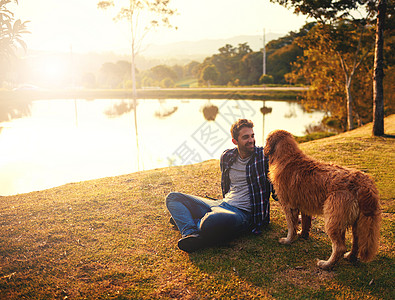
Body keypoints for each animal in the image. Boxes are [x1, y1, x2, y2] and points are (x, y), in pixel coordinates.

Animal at [264, 130, 382, 270]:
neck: (288, 157)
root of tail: (364, 184)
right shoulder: (304, 205)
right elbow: (305, 223)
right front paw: (303, 235)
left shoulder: (289, 206)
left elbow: (291, 226)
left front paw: (288, 240)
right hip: (358, 222)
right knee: (356, 242)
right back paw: (350, 257)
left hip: (333, 219)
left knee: (339, 247)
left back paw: (326, 264)